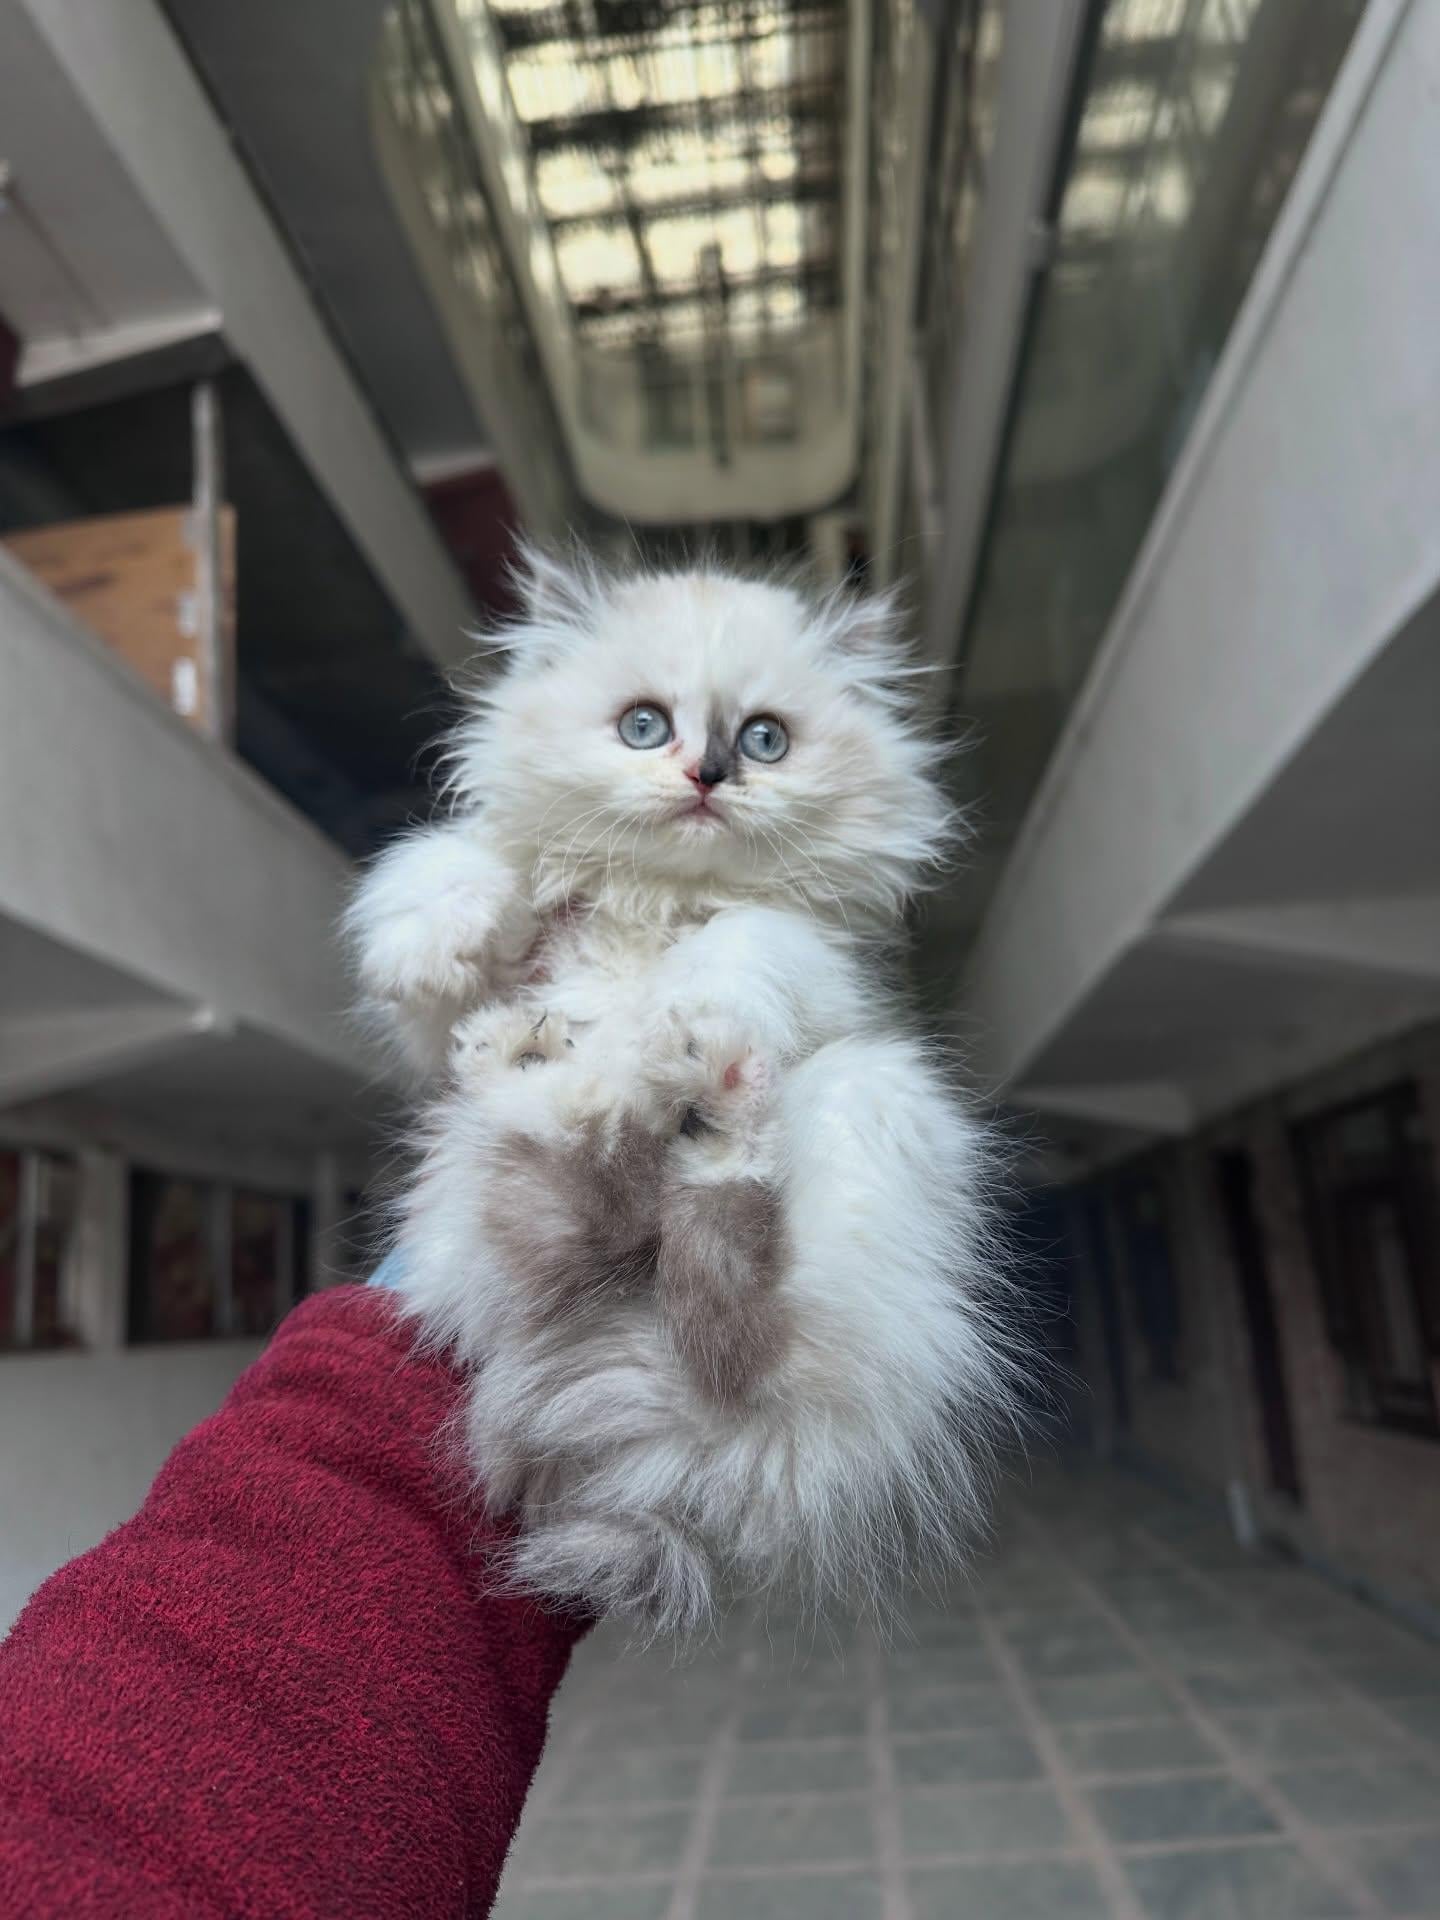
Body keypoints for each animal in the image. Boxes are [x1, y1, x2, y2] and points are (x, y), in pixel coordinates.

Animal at [346, 550, 1025, 1634]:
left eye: (764, 739)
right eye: (644, 726)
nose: (707, 776)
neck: (659, 897)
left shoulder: (822, 962)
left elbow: (739, 941)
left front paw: (687, 1012)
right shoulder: (440, 1026)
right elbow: (453, 870)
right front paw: (438, 941)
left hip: (869, 1096)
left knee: (734, 1313)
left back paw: (711, 1091)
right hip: (483, 1194)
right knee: (580, 1211)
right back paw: (546, 1073)